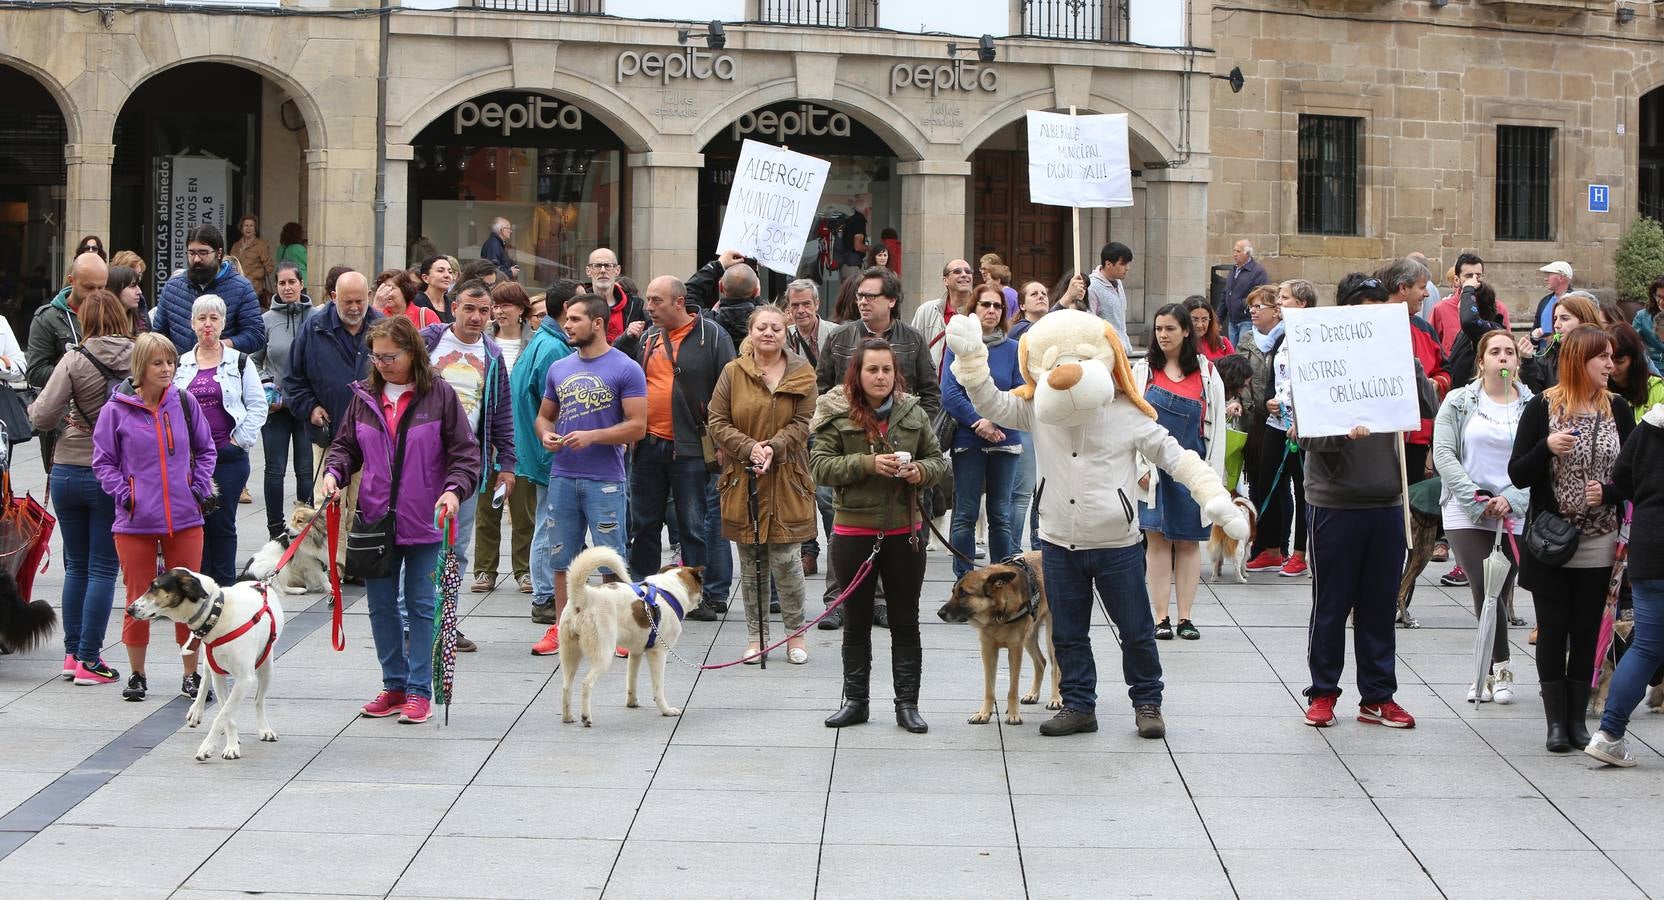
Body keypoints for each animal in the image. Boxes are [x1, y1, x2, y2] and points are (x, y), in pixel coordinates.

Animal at [131, 568, 284, 758]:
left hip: (266, 667)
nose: (130, 609)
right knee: (204, 679)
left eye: (154, 586)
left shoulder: (244, 679)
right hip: (208, 660)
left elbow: (223, 715)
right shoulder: (218, 675)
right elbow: (226, 714)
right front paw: (231, 745)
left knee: (259, 700)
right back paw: (196, 711)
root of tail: (254, 581)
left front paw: (209, 747)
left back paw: (264, 729)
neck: (216, 613)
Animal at [559, 542, 702, 725]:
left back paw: (567, 717)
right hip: (603, 653)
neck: (668, 590)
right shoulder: (658, 653)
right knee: (586, 684)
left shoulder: (635, 653)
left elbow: (631, 680)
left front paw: (632, 702)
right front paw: (666, 710)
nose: (703, 599)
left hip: (570, 653)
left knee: (566, 686)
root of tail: (585, 596)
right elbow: (658, 688)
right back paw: (586, 717)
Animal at [938, 552, 1064, 725]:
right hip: (1029, 636)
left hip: (1051, 636)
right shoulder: (988, 650)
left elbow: (1013, 689)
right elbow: (989, 688)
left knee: (1055, 669)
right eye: (954, 592)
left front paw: (1013, 714)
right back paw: (1033, 694)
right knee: (1041, 662)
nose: (940, 614)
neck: (997, 612)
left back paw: (1055, 698)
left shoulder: (1015, 650)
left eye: (964, 594)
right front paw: (984, 713)